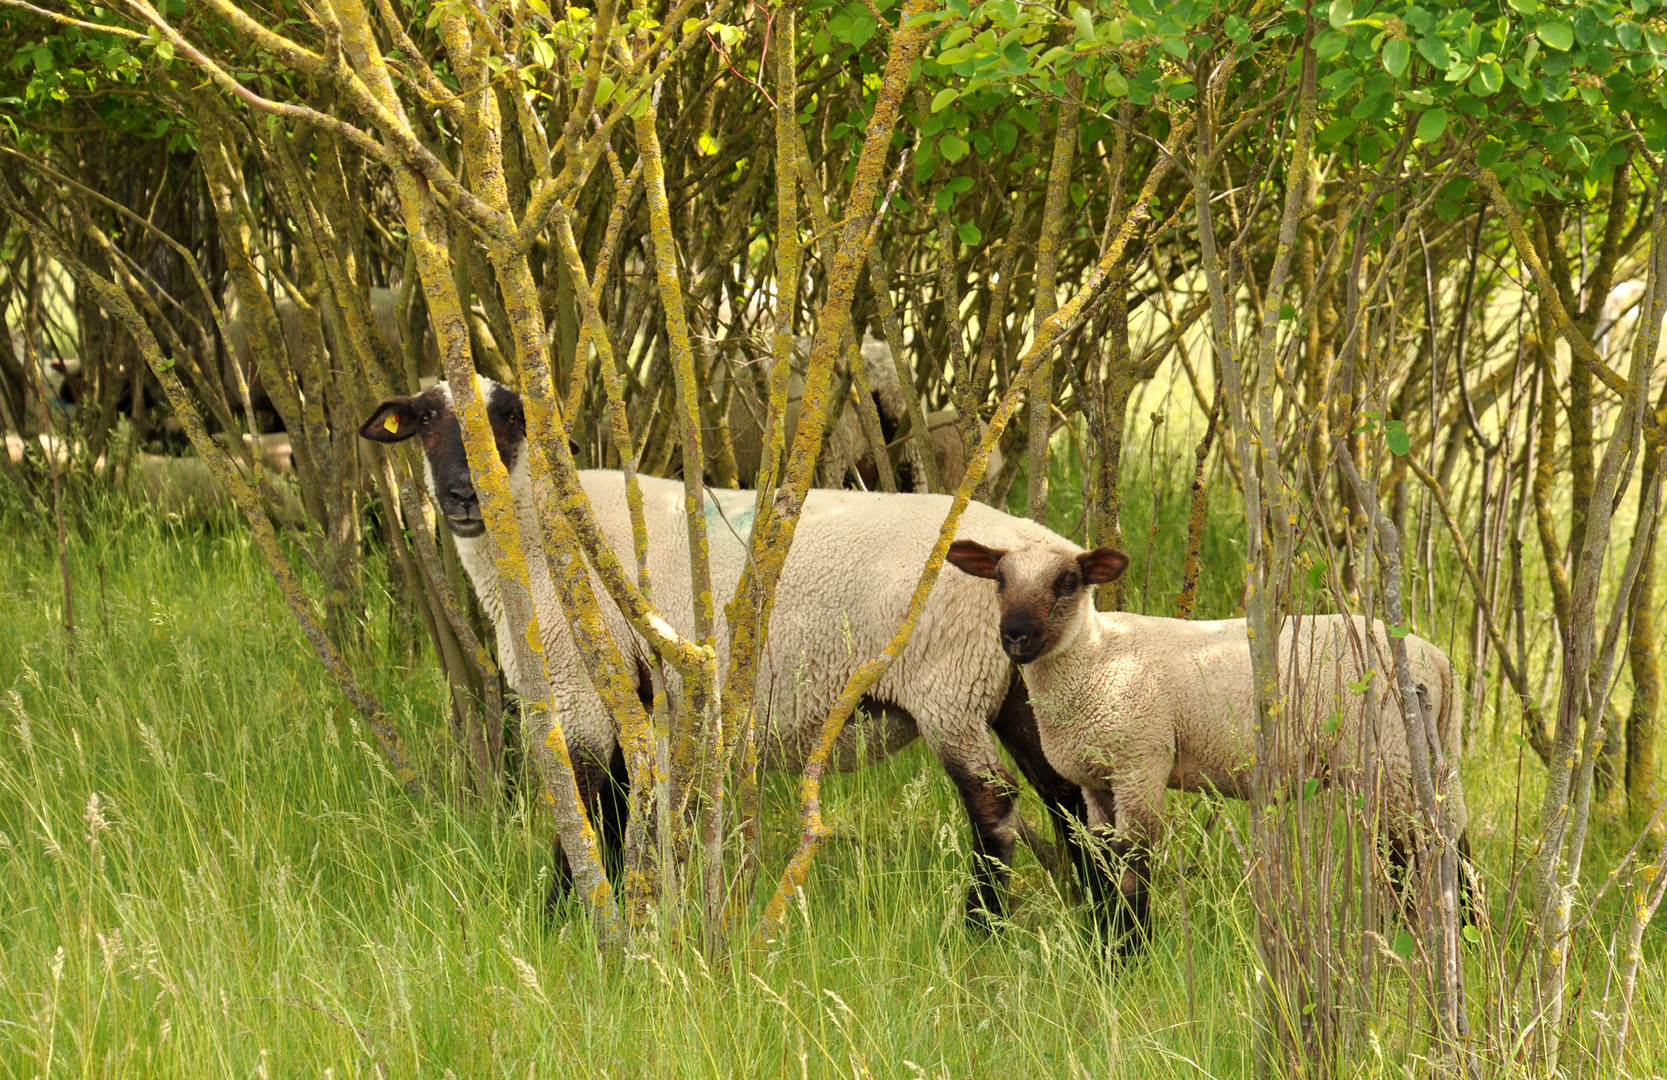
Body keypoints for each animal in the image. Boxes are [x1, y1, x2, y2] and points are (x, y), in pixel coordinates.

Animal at [361, 381, 1093, 926]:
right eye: (424, 419)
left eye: (510, 418)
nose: (462, 495)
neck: (541, 539)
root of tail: (1048, 551)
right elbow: (618, 807)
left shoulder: (583, 684)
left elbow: (586, 810)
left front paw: (565, 921)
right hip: (1020, 686)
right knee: (1068, 798)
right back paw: (1100, 930)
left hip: (950, 685)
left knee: (995, 806)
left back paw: (979, 930)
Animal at [946, 540, 1466, 946]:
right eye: (999, 579)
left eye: (1068, 581)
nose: (1015, 637)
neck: (1097, 656)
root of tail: (1437, 659)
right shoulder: (1096, 780)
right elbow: (1102, 867)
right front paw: (1105, 944)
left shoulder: (1141, 760)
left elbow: (1134, 863)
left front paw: (1130, 954)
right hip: (1430, 751)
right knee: (1449, 834)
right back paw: (1465, 936)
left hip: (1389, 753)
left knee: (1411, 845)